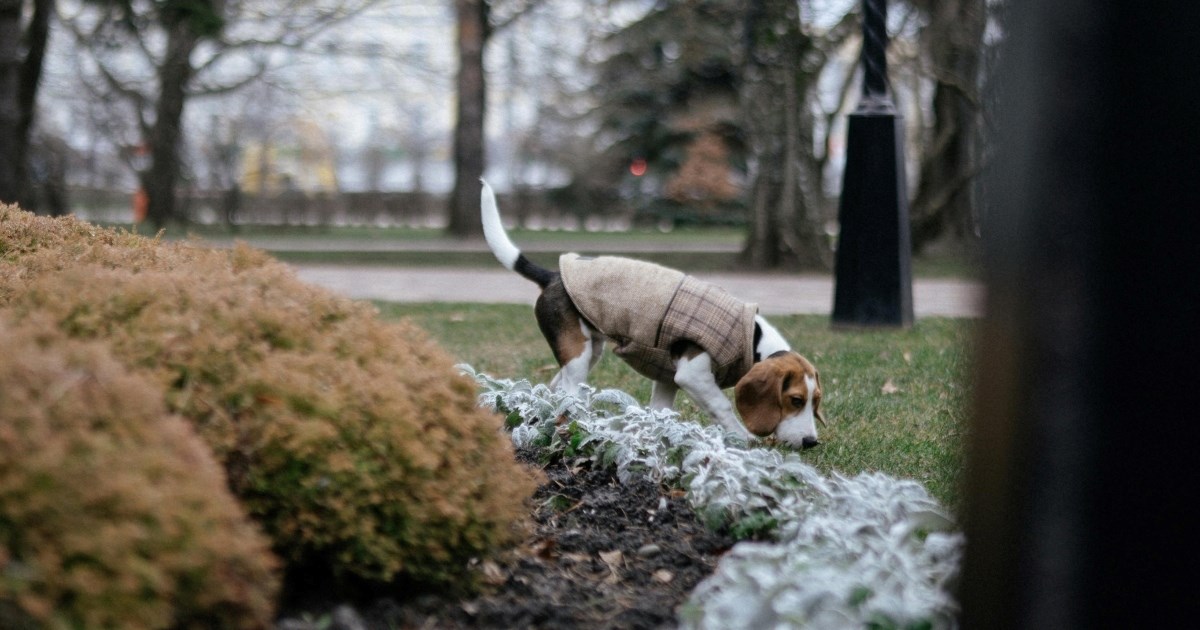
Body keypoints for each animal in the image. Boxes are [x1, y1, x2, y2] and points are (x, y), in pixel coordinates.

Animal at [477, 180, 825, 446]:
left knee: (554, 389)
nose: (811, 442)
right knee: (568, 392)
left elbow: (662, 412)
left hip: (590, 351)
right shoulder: (693, 375)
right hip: (578, 355)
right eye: (795, 400)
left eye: (816, 401)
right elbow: (722, 406)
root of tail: (553, 275)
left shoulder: (668, 379)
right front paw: (743, 439)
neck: (753, 340)